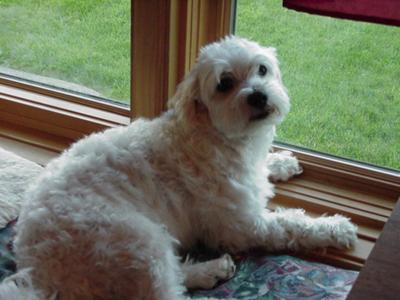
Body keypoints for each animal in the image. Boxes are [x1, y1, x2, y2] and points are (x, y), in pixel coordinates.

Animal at [0, 35, 356, 300]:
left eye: (262, 69)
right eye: (224, 84)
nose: (257, 95)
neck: (215, 134)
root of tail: (39, 272)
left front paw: (281, 161)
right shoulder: (243, 226)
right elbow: (291, 224)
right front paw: (334, 228)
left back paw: (210, 270)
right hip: (137, 242)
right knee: (165, 291)